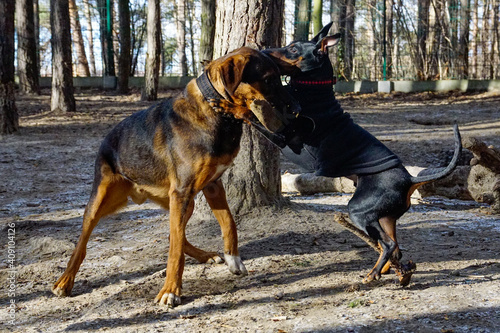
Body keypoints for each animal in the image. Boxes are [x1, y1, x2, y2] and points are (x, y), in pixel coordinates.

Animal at [52, 46, 298, 306]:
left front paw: (234, 260)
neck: (215, 110)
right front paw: (170, 290)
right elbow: (176, 249)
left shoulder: (212, 186)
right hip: (102, 201)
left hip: (183, 203)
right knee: (82, 244)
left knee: (173, 235)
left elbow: (228, 222)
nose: (296, 110)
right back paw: (65, 281)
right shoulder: (182, 192)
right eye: (269, 79)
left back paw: (205, 255)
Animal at [264, 22, 462, 286]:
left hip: (359, 210)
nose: (265, 50)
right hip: (384, 217)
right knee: (396, 247)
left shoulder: (285, 139)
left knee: (388, 245)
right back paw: (393, 272)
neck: (313, 90)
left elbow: (254, 122)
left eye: (293, 48)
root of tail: (410, 179)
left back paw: (374, 274)